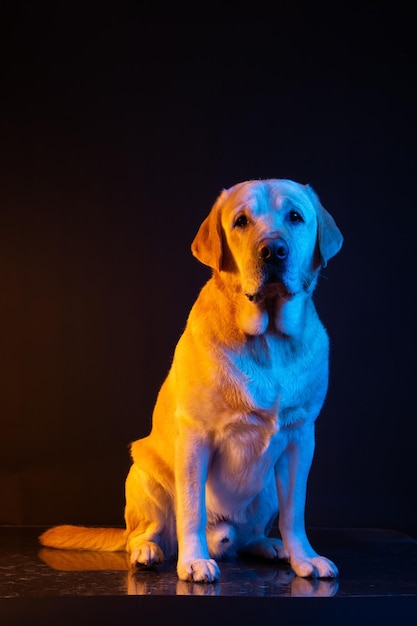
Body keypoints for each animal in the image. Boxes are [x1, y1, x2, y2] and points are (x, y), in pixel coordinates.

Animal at [40, 177, 342, 580]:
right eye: (241, 221)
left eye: (295, 217)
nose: (273, 251)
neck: (267, 339)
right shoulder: (196, 438)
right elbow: (192, 510)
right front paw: (194, 561)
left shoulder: (299, 440)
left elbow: (295, 513)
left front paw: (304, 557)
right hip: (143, 475)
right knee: (144, 533)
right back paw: (149, 551)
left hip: (266, 489)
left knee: (247, 536)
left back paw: (268, 545)